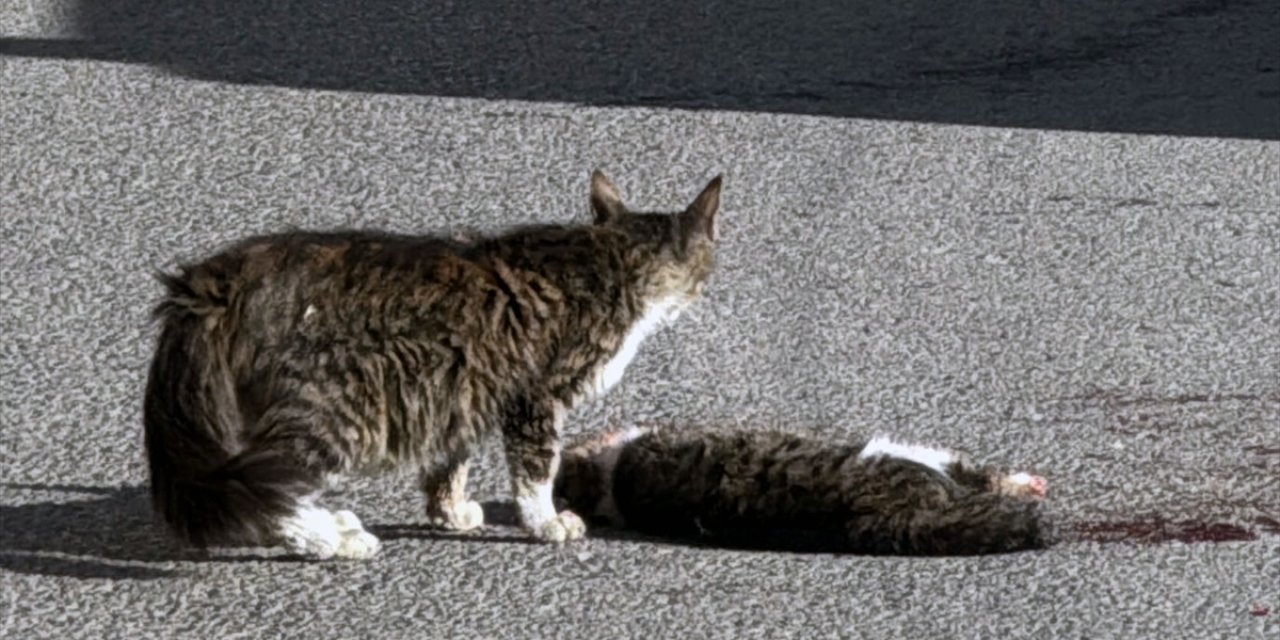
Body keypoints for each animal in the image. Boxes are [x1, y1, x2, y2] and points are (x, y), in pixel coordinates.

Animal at [145, 172, 727, 558]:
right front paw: (544, 523)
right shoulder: (535, 397)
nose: (705, 290)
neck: (612, 260)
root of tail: (214, 283)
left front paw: (450, 512)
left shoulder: (464, 388)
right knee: (271, 492)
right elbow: (537, 470)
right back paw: (333, 539)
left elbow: (451, 463)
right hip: (336, 410)